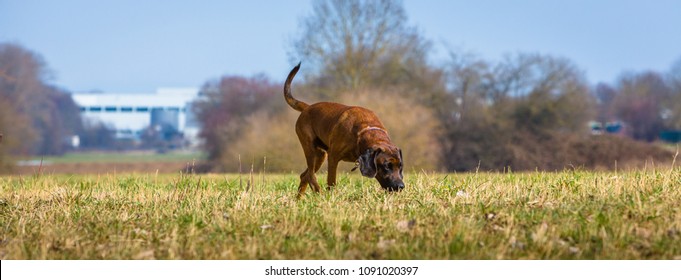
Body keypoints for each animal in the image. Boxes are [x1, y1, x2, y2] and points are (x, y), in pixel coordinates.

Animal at [282, 63, 404, 199]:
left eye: (400, 166)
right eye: (386, 166)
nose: (400, 186)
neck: (363, 132)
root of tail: (308, 107)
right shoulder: (333, 157)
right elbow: (331, 182)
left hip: (320, 155)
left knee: (304, 175)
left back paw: (299, 199)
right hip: (310, 149)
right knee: (311, 175)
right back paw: (318, 192)